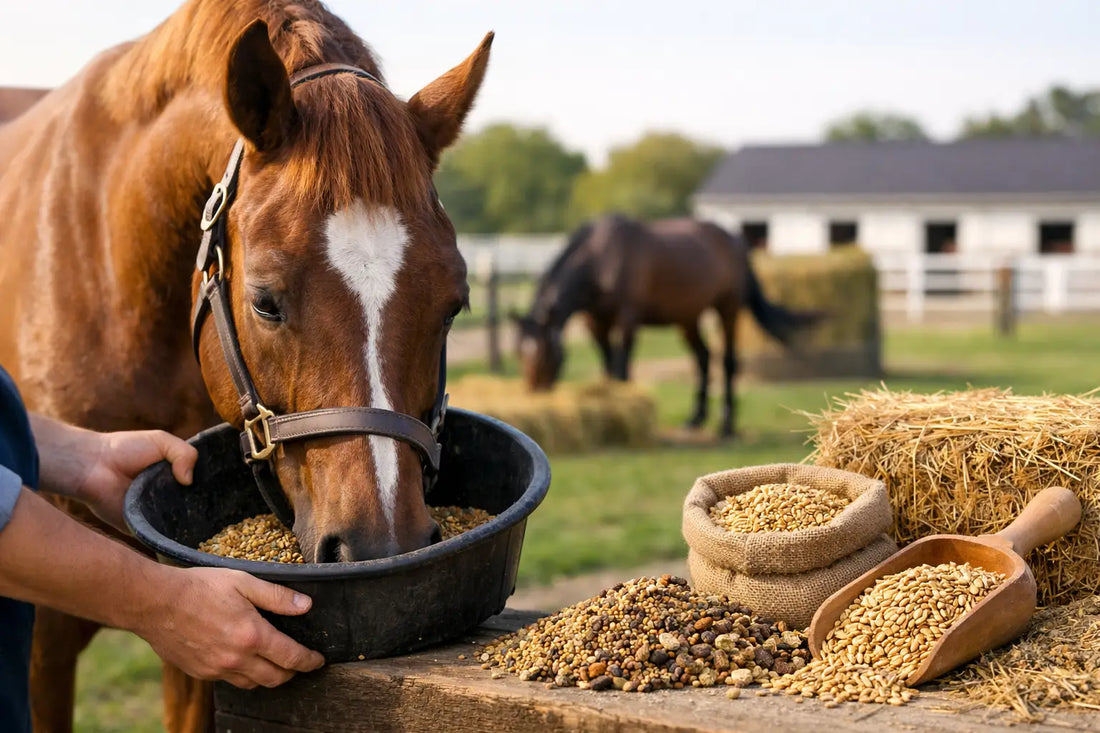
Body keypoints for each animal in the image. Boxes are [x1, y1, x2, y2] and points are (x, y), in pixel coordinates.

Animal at [512, 214, 820, 437]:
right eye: (520, 352)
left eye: (544, 353)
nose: (533, 390)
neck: (601, 258)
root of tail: (736, 242)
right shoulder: (595, 322)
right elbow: (609, 367)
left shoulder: (627, 319)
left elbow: (622, 367)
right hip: (688, 318)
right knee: (703, 358)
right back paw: (695, 419)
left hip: (728, 309)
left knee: (728, 361)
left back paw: (726, 426)